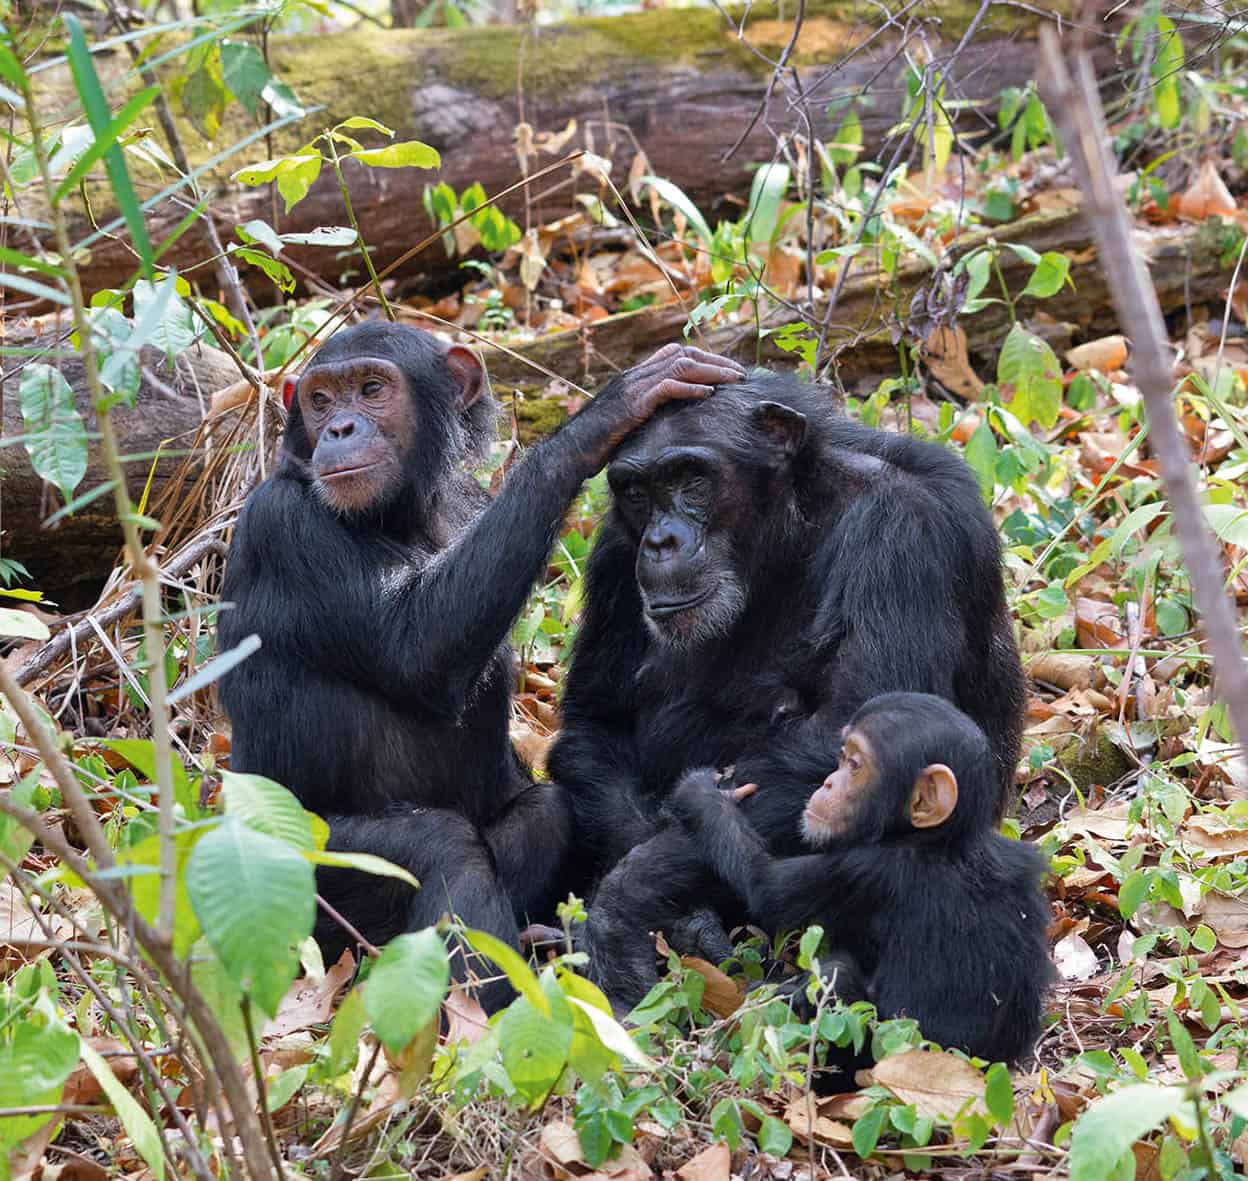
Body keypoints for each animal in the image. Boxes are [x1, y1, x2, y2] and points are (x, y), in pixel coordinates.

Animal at [217, 322, 738, 1003]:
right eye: (321, 399)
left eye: (372, 388)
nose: (339, 428)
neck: (402, 512)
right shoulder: (287, 529)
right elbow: (416, 646)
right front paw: (606, 414)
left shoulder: (467, 502)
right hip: (293, 886)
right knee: (443, 847)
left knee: (546, 814)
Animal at [551, 369, 1028, 1003]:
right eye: (636, 492)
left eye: (690, 479)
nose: (661, 541)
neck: (787, 529)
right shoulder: (611, 552)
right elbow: (597, 721)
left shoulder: (902, 527)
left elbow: (856, 726)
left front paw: (629, 897)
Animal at [673, 689, 1053, 1078]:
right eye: (840, 759)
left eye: (853, 765)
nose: (827, 782)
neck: (940, 840)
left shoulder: (865, 870)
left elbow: (765, 885)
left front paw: (703, 793)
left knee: (836, 973)